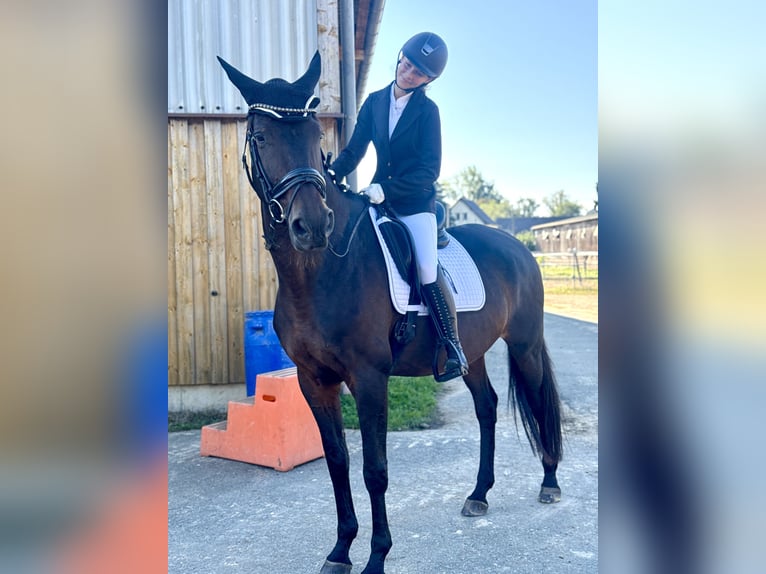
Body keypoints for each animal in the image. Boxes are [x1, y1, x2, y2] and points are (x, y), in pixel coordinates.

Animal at [218, 52, 563, 574]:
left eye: (316, 137)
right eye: (260, 138)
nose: (311, 226)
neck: (319, 275)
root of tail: (517, 247)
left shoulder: (369, 377)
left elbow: (374, 469)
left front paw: (377, 556)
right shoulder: (314, 380)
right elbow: (338, 462)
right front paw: (341, 550)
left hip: (523, 345)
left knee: (539, 400)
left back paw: (549, 482)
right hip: (474, 353)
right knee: (486, 408)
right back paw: (479, 494)